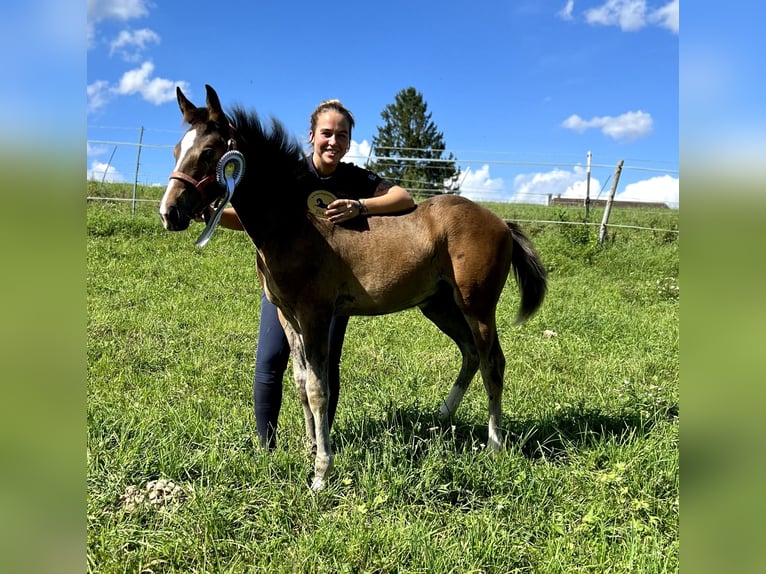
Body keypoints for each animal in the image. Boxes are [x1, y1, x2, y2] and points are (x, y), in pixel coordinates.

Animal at [159, 84, 548, 490]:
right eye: (176, 150)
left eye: (207, 153)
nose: (170, 213)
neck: (293, 226)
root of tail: (501, 222)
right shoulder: (287, 316)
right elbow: (300, 382)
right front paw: (310, 450)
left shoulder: (314, 315)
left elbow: (319, 389)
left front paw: (321, 472)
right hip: (438, 305)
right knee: (470, 354)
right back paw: (439, 419)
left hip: (478, 306)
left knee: (492, 362)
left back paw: (494, 445)